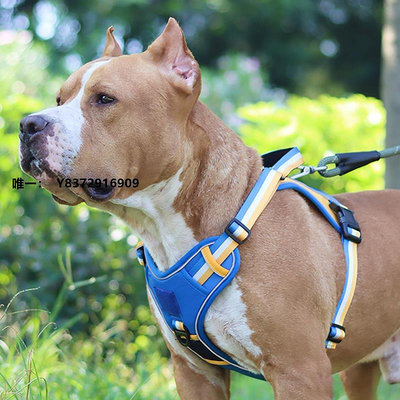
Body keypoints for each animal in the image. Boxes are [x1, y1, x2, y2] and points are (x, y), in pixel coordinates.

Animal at [19, 17, 400, 398]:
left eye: (104, 99)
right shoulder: (194, 371)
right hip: (358, 370)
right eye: (59, 98)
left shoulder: (300, 370)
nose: (28, 124)